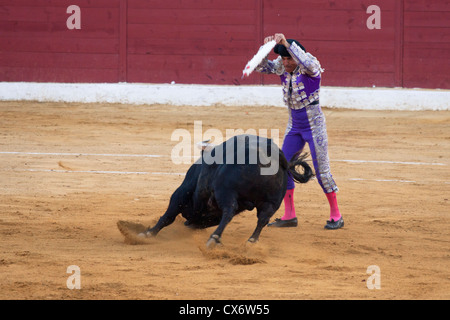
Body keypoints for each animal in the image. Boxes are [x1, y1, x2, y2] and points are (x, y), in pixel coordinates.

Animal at [143, 134, 312, 246]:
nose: (187, 221)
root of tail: (271, 152)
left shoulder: (183, 191)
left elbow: (168, 215)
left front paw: (147, 233)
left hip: (226, 192)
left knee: (230, 211)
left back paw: (214, 238)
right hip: (271, 203)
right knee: (263, 219)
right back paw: (251, 241)